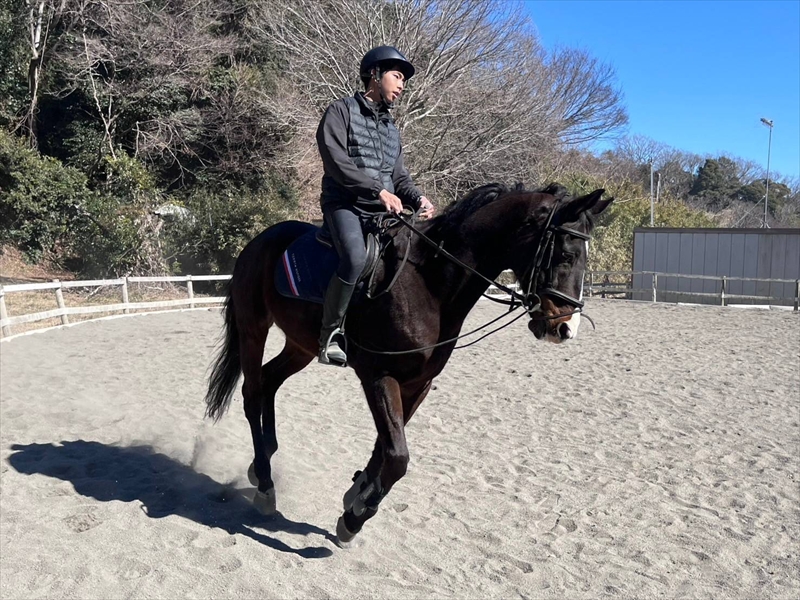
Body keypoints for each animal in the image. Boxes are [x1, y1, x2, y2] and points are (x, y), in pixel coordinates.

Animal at [204, 182, 612, 545]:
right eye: (566, 256)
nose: (565, 328)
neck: (429, 283)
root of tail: (260, 240)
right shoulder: (379, 375)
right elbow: (398, 455)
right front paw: (354, 519)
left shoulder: (419, 383)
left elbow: (385, 448)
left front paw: (358, 493)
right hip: (253, 329)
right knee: (253, 392)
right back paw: (265, 485)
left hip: (300, 345)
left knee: (269, 381)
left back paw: (263, 460)